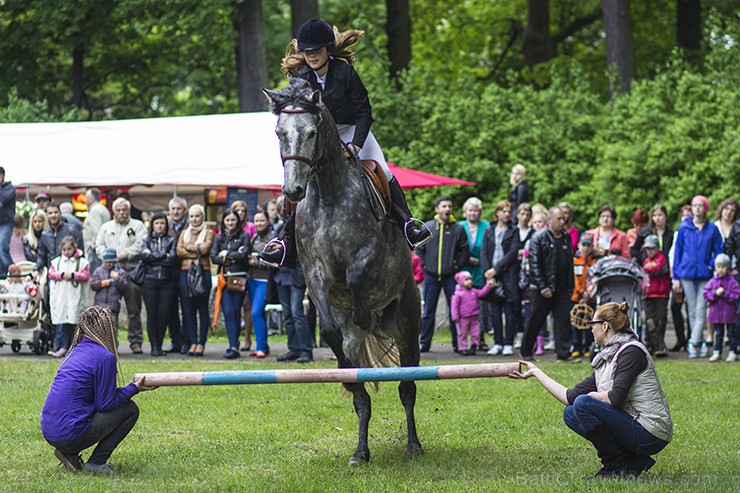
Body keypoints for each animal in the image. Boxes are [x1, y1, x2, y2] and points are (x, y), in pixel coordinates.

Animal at [264, 79, 422, 464]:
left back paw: (413, 444)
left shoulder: (369, 254)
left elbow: (355, 276)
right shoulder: (314, 272)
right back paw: (360, 450)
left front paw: (364, 315)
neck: (329, 193)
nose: (293, 190)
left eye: (311, 132)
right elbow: (333, 332)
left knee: (408, 387)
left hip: (407, 323)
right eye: (279, 133)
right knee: (361, 396)